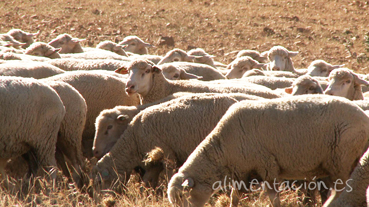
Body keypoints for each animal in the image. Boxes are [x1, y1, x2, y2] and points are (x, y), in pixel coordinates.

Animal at [91, 93, 258, 190]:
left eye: (109, 127)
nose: (95, 151)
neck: (134, 139)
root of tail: (234, 101)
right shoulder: (152, 161)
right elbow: (147, 181)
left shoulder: (167, 154)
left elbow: (169, 174)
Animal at [168, 94, 368, 206]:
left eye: (183, 197)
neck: (222, 149)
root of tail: (363, 117)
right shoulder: (241, 172)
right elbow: (234, 197)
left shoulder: (267, 166)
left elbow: (273, 198)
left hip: (342, 158)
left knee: (342, 190)